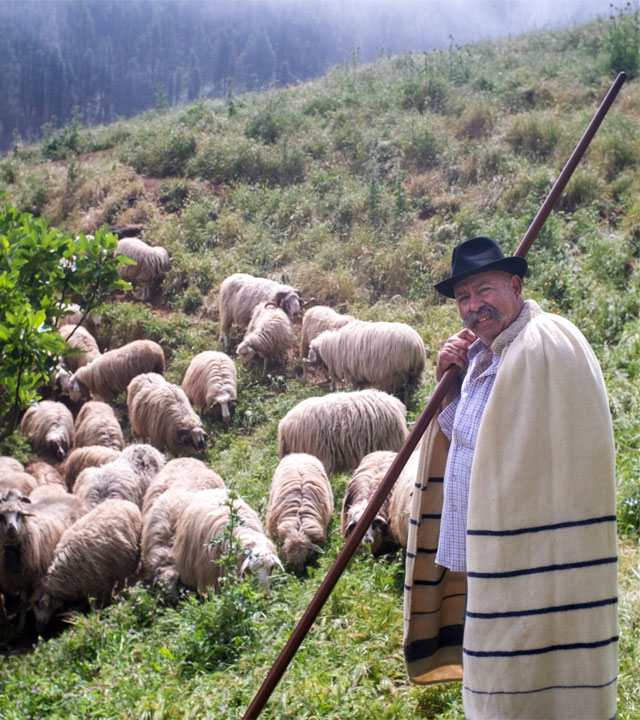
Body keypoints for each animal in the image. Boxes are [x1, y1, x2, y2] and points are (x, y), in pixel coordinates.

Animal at [31, 498, 142, 628]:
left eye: (40, 605)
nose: (39, 623)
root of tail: (126, 502)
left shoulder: (95, 581)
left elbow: (93, 602)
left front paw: (94, 617)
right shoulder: (90, 581)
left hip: (126, 563)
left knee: (122, 580)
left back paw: (120, 594)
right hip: (115, 565)